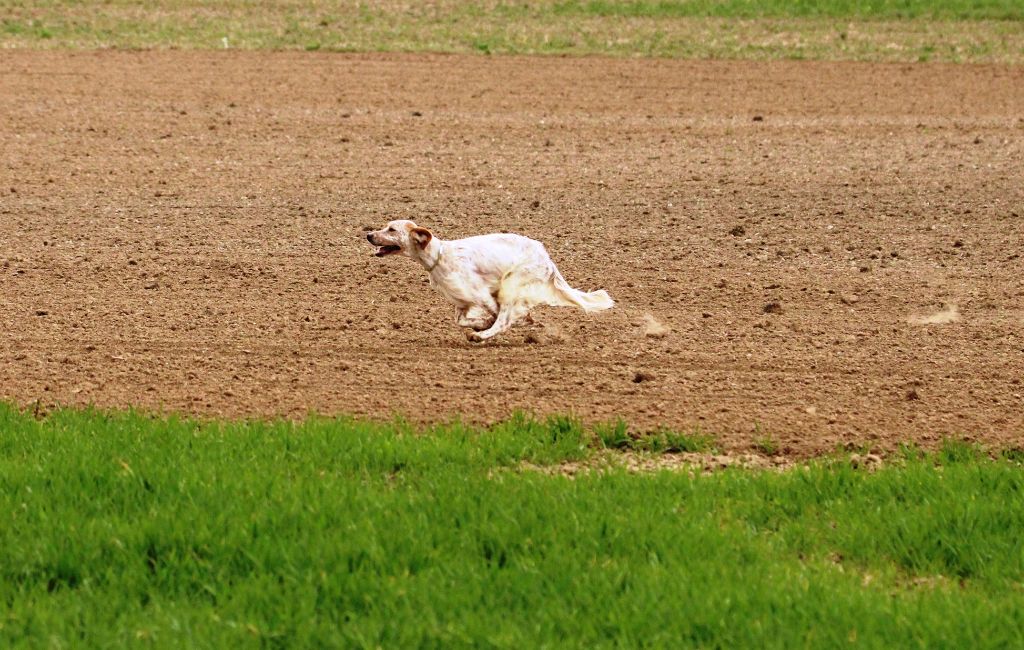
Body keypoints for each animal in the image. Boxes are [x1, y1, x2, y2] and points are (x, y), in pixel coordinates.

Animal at [366, 220, 610, 343]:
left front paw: (483, 327)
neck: (439, 256)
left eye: (391, 229)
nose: (368, 235)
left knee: (504, 319)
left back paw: (481, 336)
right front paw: (479, 323)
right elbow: (462, 321)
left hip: (511, 285)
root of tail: (547, 259)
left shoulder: (481, 294)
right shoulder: (462, 302)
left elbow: (497, 316)